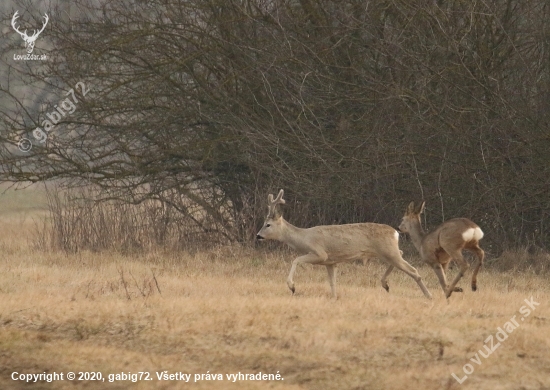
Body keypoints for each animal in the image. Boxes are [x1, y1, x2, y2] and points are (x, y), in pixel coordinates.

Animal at [256, 190, 434, 300]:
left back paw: (429, 295)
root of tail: (395, 233)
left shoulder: (320, 254)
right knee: (402, 255)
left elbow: (296, 260)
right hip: (388, 251)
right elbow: (332, 282)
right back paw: (385, 284)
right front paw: (334, 297)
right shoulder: (330, 262)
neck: (303, 238)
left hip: (388, 250)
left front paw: (292, 287)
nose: (258, 236)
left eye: (268, 224)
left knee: (413, 270)